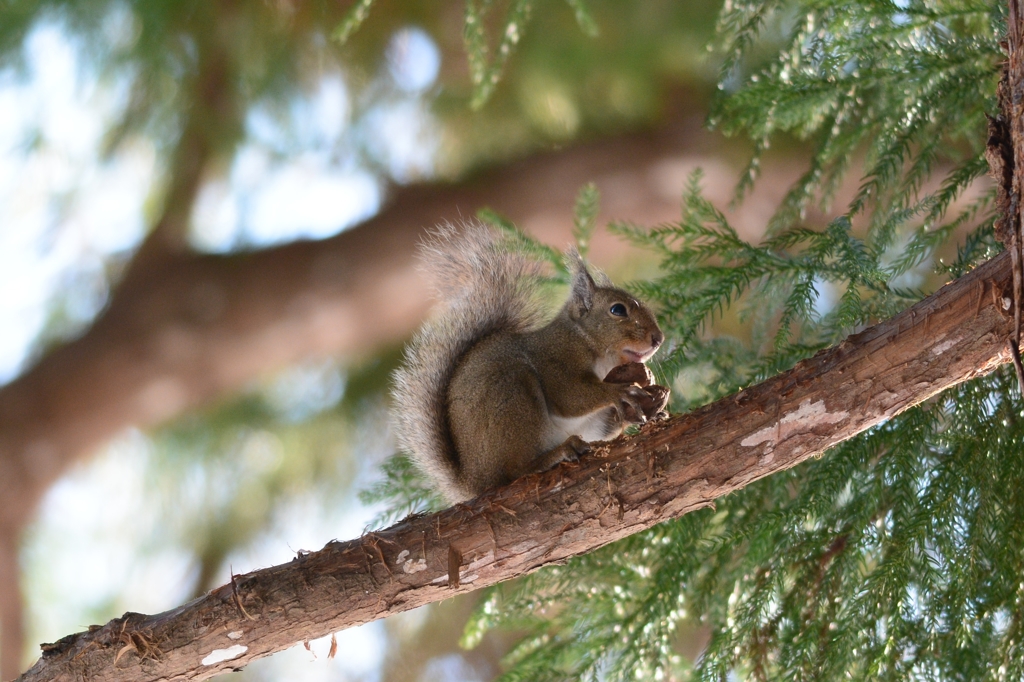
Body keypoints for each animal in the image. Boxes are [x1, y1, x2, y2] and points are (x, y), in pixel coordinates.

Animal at [387, 220, 667, 501]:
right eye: (617, 309)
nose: (658, 338)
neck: (585, 340)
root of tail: (476, 481)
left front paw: (647, 396)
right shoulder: (554, 360)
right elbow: (569, 397)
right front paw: (619, 392)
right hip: (513, 399)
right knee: (516, 471)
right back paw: (556, 454)